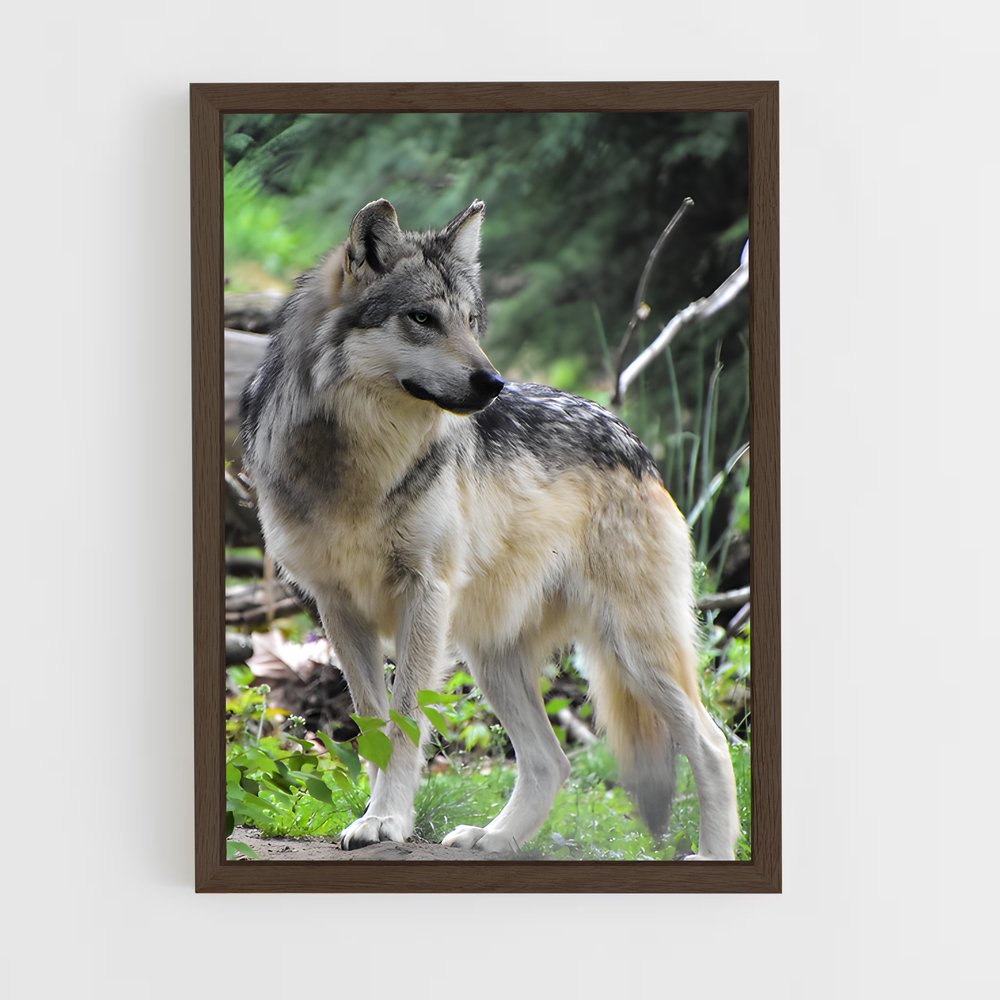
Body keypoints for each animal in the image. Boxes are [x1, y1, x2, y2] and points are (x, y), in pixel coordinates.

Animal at [240, 198, 740, 859]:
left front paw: (388, 819)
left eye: (471, 321)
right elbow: (375, 723)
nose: (493, 384)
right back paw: (495, 839)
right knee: (552, 761)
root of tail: (632, 439)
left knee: (712, 745)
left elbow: (405, 724)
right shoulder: (337, 608)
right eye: (422, 318)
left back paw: (712, 853)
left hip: (632, 649)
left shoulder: (423, 594)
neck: (357, 467)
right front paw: (376, 816)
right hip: (493, 658)